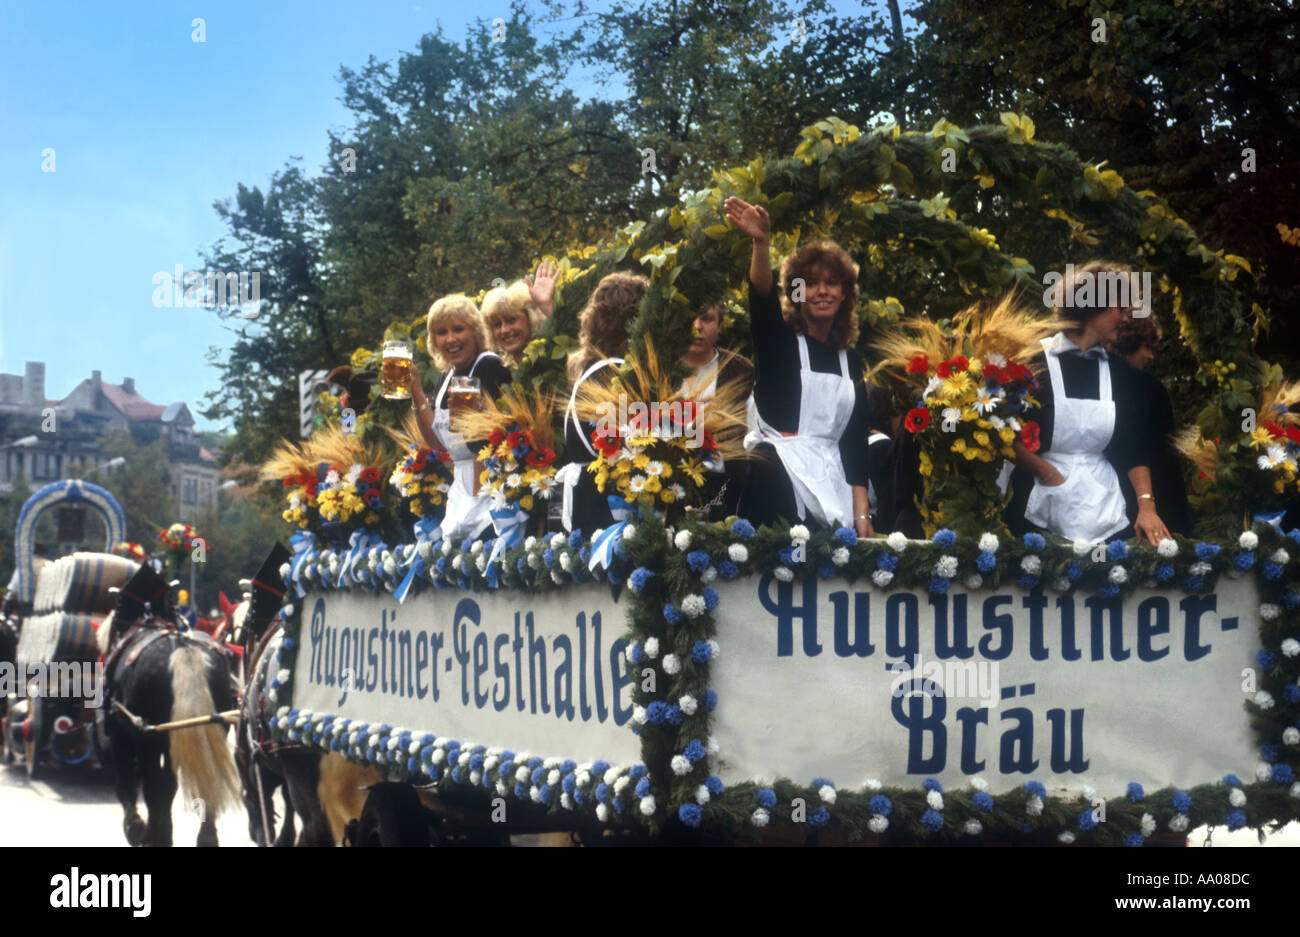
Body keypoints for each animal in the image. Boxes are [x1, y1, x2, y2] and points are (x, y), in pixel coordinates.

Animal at [97, 564, 243, 847]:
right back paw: (204, 837)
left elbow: (129, 784)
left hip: (147, 737)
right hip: (210, 730)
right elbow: (169, 787)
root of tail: (183, 649)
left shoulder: (121, 734)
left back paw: (153, 833)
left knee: (151, 785)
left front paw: (136, 827)